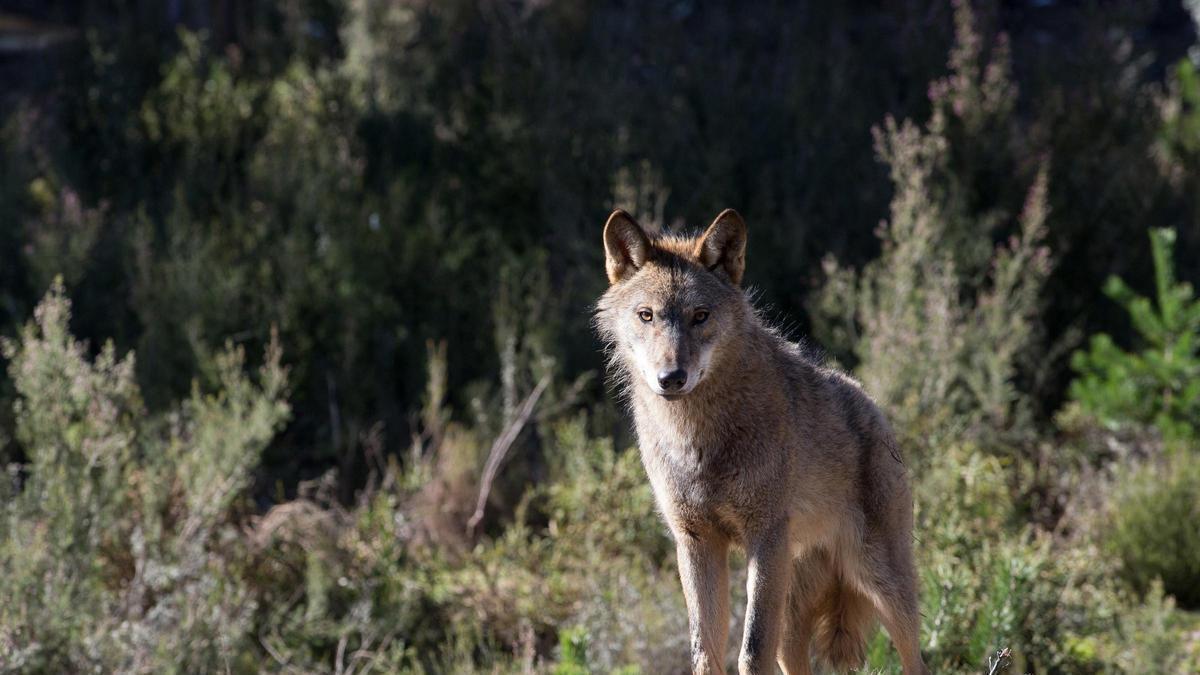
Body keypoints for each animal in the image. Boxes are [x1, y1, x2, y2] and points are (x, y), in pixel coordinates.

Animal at [594, 209, 928, 675]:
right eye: (646, 315)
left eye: (701, 315)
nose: (671, 377)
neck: (697, 440)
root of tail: (874, 407)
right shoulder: (696, 542)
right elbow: (703, 652)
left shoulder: (764, 536)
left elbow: (751, 651)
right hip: (793, 617)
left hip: (880, 583)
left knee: (916, 656)